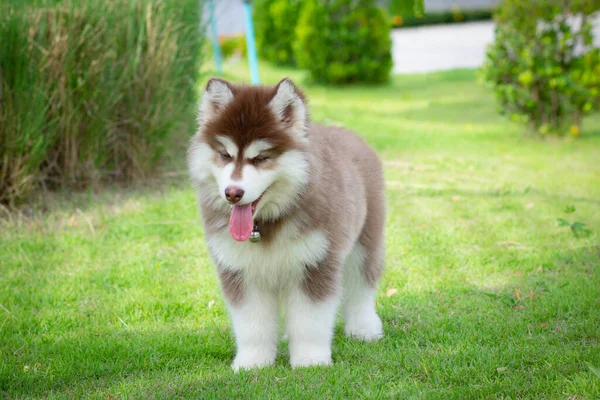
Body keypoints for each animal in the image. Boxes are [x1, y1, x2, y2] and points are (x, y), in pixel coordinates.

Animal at [186, 76, 384, 370]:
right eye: (225, 155)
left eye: (260, 158)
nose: (233, 193)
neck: (265, 224)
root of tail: (349, 134)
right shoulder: (240, 271)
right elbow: (252, 324)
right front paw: (252, 363)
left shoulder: (316, 263)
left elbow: (310, 322)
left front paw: (310, 361)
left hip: (366, 241)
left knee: (361, 287)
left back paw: (364, 327)